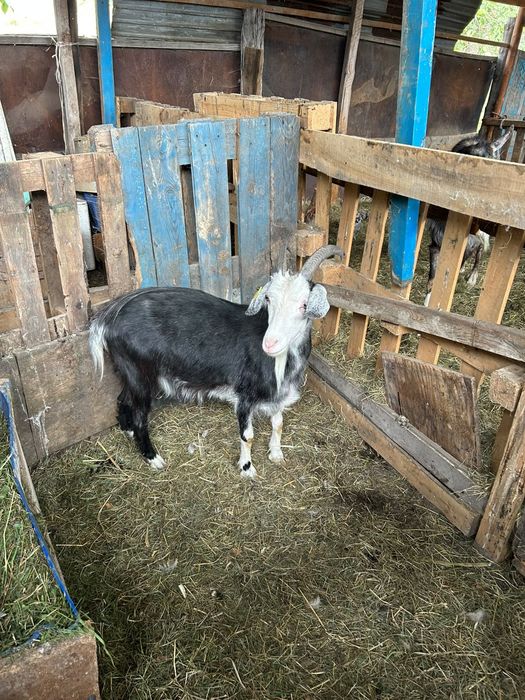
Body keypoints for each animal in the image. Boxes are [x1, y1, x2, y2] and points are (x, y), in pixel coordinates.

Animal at [89, 245, 342, 477]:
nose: (270, 343)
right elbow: (247, 436)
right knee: (141, 415)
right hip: (139, 371)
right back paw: (153, 458)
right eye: (269, 299)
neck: (280, 363)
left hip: (128, 370)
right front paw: (247, 469)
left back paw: (129, 432)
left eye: (304, 304)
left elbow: (278, 423)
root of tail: (107, 318)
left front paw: (277, 454)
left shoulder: (278, 394)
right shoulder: (244, 396)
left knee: (122, 398)